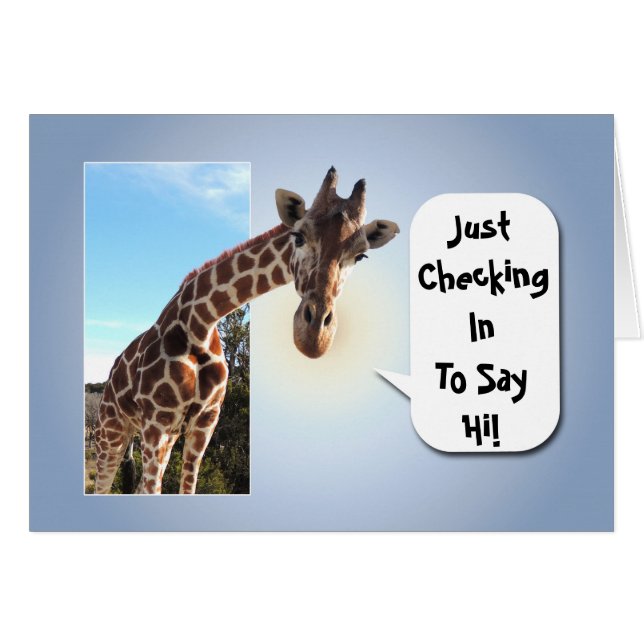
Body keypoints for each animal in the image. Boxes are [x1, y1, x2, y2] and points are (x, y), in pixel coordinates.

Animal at [93, 167, 400, 494]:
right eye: (299, 236)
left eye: (360, 255)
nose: (315, 336)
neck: (199, 322)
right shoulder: (157, 420)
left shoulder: (205, 421)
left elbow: (186, 486)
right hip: (111, 433)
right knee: (104, 484)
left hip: (161, 436)